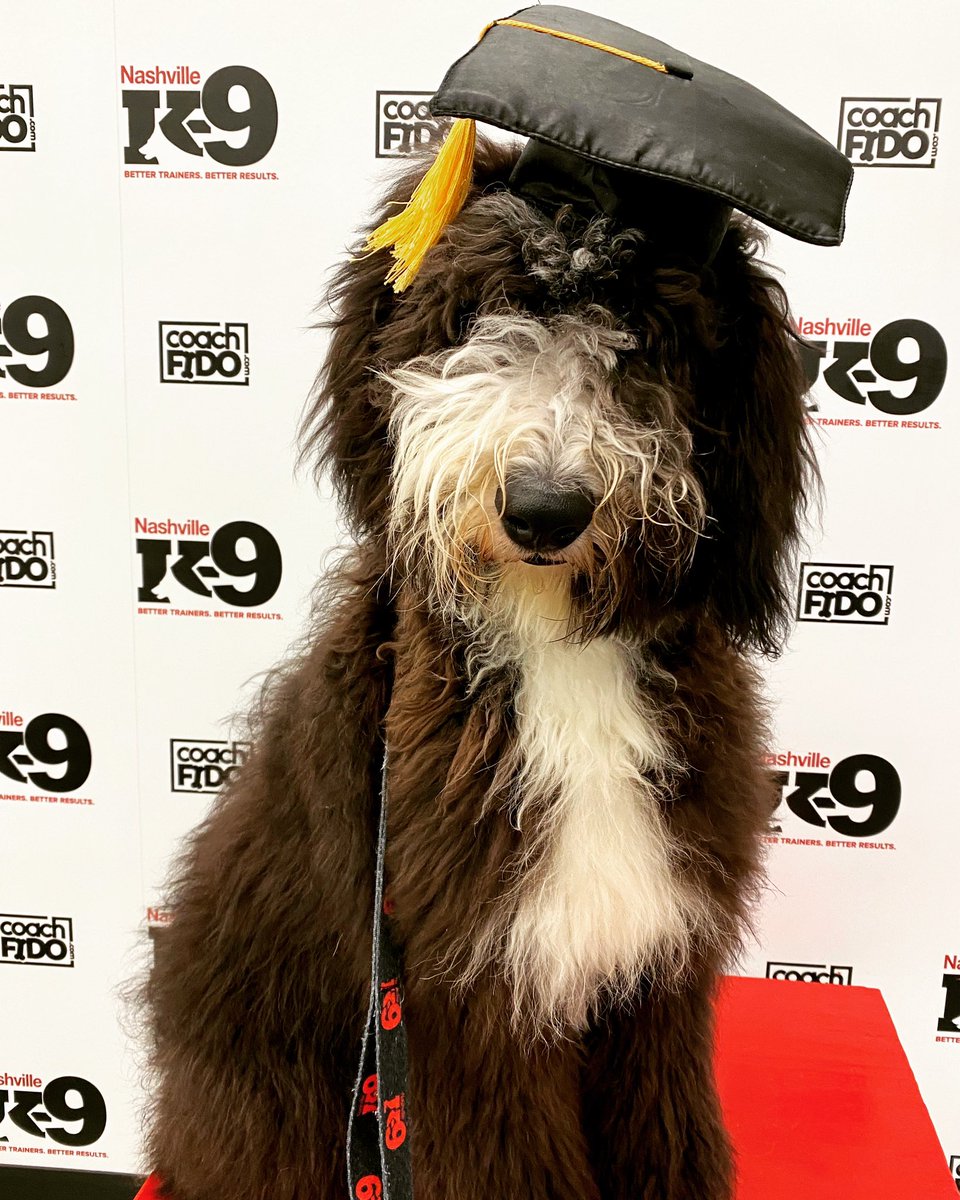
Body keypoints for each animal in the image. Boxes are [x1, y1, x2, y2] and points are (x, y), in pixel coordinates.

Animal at [146, 140, 816, 1200]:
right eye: (486, 306)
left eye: (646, 334)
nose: (543, 510)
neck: (558, 652)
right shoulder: (466, 994)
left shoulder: (654, 984)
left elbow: (666, 1129)